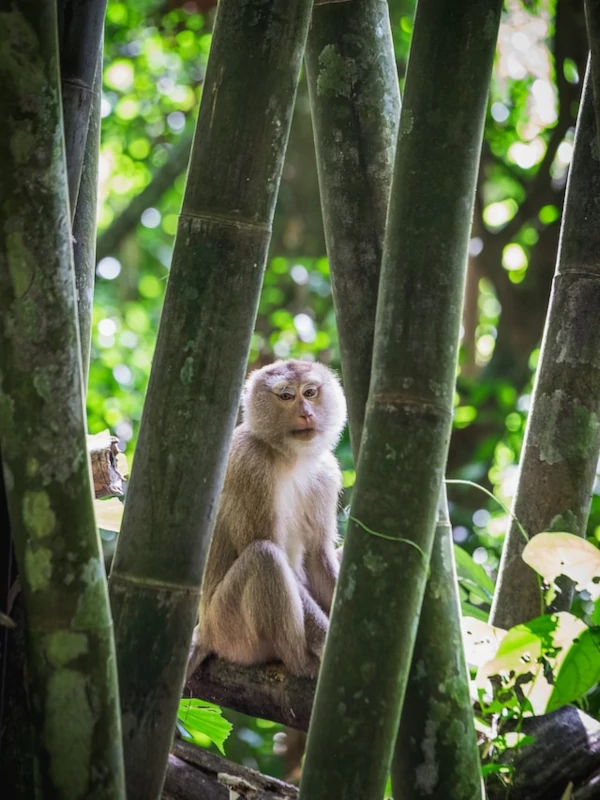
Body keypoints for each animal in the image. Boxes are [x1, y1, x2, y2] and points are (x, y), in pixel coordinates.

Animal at [188, 359, 347, 678]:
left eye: (310, 392)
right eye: (286, 396)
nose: (306, 413)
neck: (290, 457)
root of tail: (205, 630)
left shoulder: (326, 473)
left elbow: (318, 557)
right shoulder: (251, 466)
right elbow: (268, 547)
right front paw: (329, 644)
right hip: (229, 628)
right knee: (265, 557)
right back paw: (303, 663)